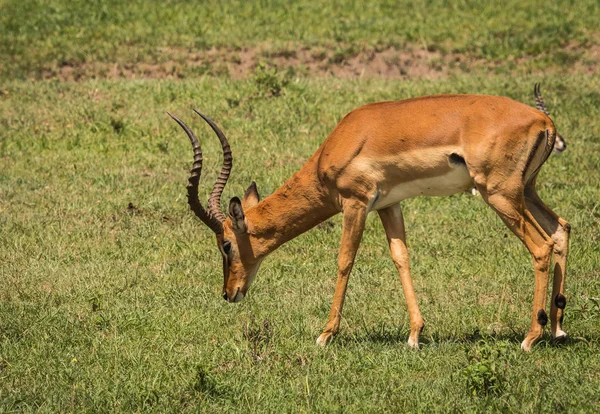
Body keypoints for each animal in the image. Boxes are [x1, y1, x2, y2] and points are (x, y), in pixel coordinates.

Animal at [166, 85, 568, 350]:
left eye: (226, 244)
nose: (229, 293)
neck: (342, 142)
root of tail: (543, 119)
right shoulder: (389, 205)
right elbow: (401, 257)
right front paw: (414, 335)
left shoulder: (355, 203)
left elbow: (344, 260)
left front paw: (325, 334)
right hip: (525, 191)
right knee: (561, 229)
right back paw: (558, 329)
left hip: (499, 194)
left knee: (541, 246)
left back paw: (530, 337)